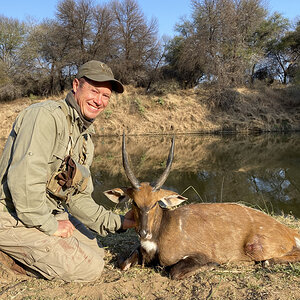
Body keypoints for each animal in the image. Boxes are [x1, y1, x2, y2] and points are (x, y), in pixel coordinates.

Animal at [105, 135, 300, 280]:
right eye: (134, 202)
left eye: (154, 203)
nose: (143, 232)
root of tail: (289, 232)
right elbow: (123, 264)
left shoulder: (196, 255)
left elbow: (174, 271)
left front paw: (214, 264)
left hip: (255, 248)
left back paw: (266, 262)